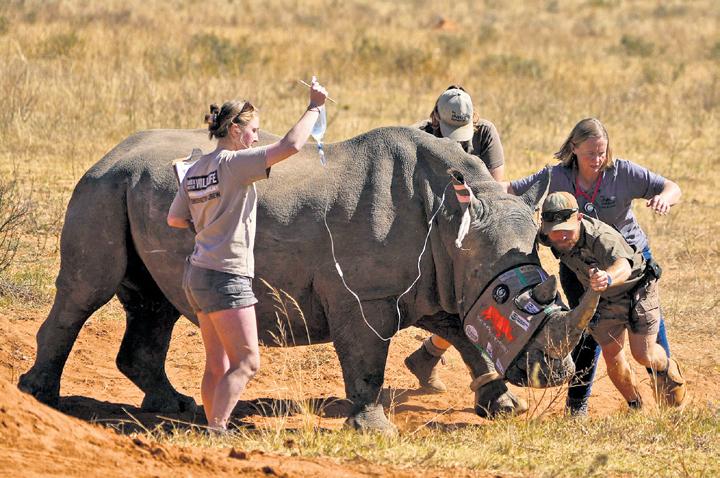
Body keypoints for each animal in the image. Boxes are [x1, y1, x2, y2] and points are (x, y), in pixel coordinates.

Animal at [19, 126, 598, 433]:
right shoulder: (366, 296)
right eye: (508, 295)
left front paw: (503, 407)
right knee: (85, 291)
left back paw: (174, 407)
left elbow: (469, 337)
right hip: (100, 188)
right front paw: (374, 430)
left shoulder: (445, 280)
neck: (454, 222)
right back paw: (40, 398)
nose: (555, 375)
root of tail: (109, 152)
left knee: (154, 304)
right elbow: (367, 359)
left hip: (131, 190)